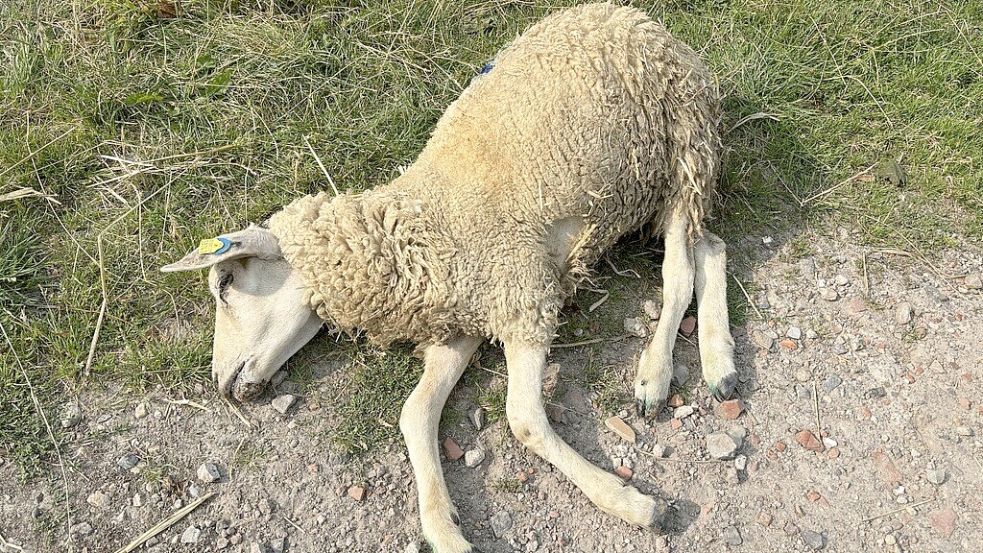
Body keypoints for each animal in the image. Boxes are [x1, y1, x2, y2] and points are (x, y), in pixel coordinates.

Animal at [161, 3, 736, 548]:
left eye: (225, 285)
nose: (221, 384)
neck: (419, 229)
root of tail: (635, 18)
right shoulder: (459, 321)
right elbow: (415, 414)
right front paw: (444, 527)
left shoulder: (524, 296)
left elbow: (523, 418)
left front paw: (630, 503)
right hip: (659, 182)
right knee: (710, 249)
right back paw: (720, 365)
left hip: (684, 146)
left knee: (680, 270)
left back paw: (654, 377)